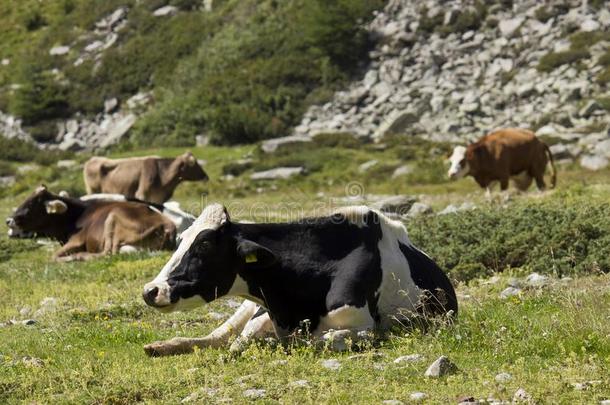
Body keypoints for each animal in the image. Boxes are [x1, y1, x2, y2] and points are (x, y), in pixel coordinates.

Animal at [5, 185, 176, 260]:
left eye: (30, 205)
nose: (8, 220)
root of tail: (168, 225)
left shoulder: (76, 239)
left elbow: (53, 257)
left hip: (113, 218)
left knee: (108, 254)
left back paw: (80, 256)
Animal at [141, 204, 456, 356]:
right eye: (181, 239)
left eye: (204, 245)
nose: (150, 290)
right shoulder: (264, 313)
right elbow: (239, 342)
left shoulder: (362, 326)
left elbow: (321, 340)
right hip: (246, 310)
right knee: (217, 336)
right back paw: (161, 346)